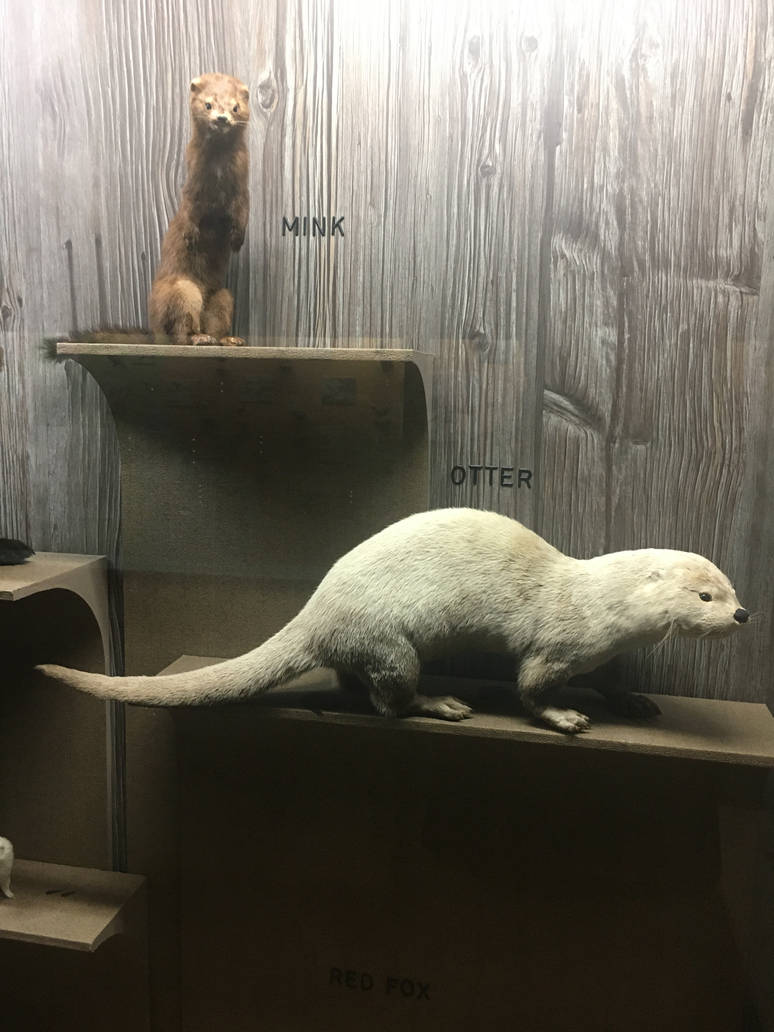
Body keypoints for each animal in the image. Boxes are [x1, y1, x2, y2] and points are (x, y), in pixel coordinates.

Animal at [37, 509, 749, 734]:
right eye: (704, 596)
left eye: (731, 585)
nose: (744, 612)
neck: (597, 600)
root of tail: (318, 609)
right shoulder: (558, 643)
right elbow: (530, 687)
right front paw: (565, 716)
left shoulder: (603, 651)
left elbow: (614, 680)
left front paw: (634, 701)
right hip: (390, 643)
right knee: (387, 700)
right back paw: (443, 703)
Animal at [148, 73, 249, 346]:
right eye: (208, 104)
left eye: (235, 106)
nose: (222, 118)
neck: (219, 174)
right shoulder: (193, 186)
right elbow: (190, 213)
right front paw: (191, 235)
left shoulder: (242, 187)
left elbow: (243, 213)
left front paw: (237, 239)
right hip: (184, 289)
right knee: (181, 328)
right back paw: (198, 337)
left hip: (222, 296)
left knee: (215, 320)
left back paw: (227, 339)